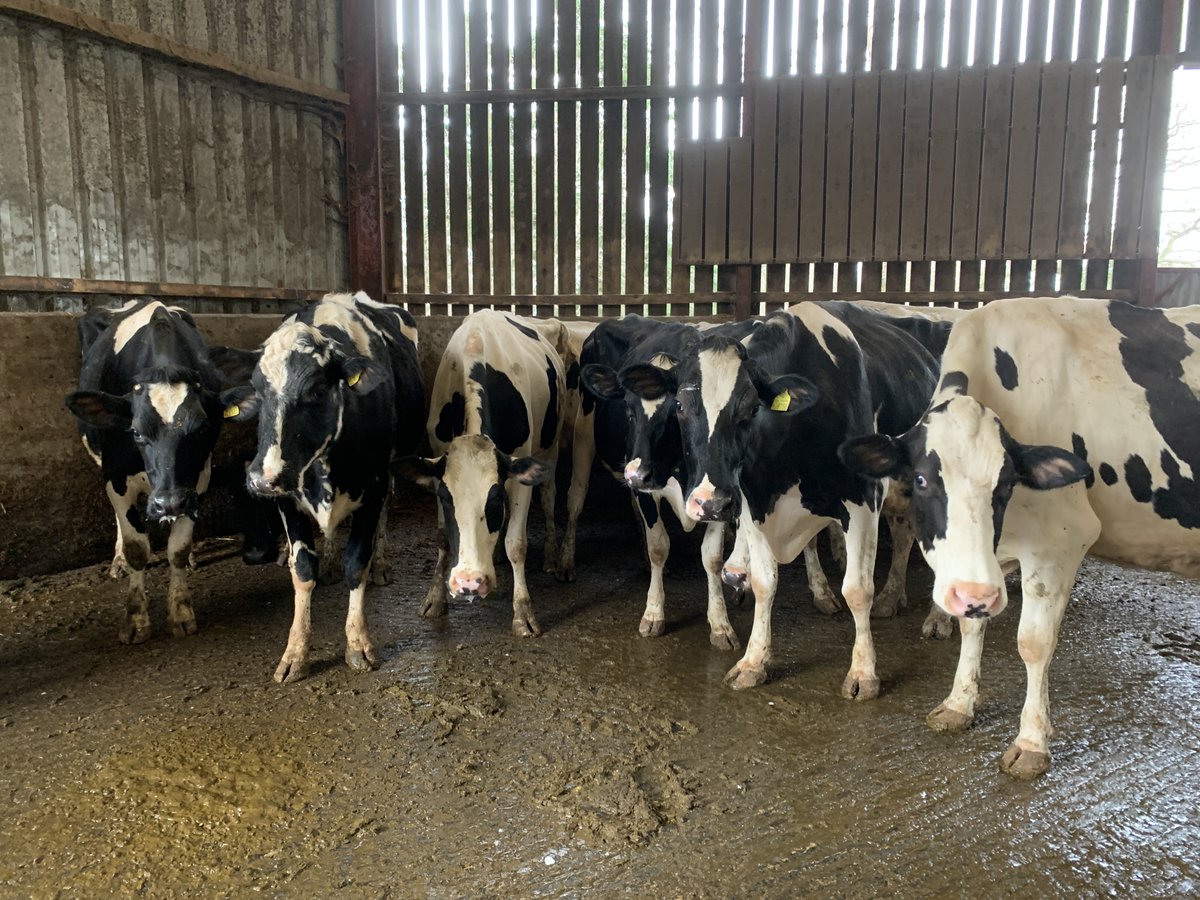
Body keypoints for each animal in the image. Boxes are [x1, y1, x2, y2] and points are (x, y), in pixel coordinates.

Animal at [65, 299, 255, 643]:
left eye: (201, 429)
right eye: (136, 432)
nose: (168, 502)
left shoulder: (197, 479)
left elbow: (177, 548)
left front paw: (180, 612)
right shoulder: (115, 476)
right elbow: (136, 548)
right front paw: (135, 619)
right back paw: (118, 561)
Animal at [220, 291, 424, 682]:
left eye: (316, 389)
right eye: (258, 390)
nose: (261, 478)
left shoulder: (373, 485)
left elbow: (357, 561)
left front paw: (358, 644)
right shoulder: (287, 498)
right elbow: (302, 569)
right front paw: (295, 653)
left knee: (385, 515)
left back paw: (382, 564)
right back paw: (328, 562)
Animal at [395, 310, 562, 638]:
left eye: (494, 498)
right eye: (447, 499)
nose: (469, 582)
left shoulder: (519, 474)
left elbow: (516, 544)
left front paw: (523, 612)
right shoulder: (438, 465)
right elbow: (443, 538)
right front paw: (435, 599)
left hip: (552, 447)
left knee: (550, 497)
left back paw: (551, 558)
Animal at [620, 302, 941, 697]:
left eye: (751, 408)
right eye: (679, 403)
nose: (710, 503)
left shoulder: (863, 502)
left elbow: (857, 589)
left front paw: (863, 672)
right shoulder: (751, 501)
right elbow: (764, 581)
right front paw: (753, 661)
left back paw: (922, 611)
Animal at [839, 296, 1200, 779]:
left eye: (1006, 484)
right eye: (920, 479)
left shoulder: (1062, 541)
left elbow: (1033, 643)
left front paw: (1031, 741)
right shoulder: (981, 570)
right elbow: (971, 624)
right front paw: (959, 704)